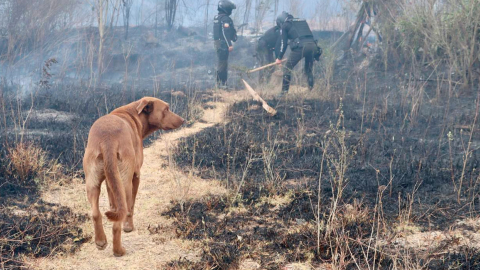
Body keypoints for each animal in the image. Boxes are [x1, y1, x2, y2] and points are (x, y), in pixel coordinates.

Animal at [83, 96, 185, 255]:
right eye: (166, 109)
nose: (183, 120)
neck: (133, 114)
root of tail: (108, 140)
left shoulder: (111, 180)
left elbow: (113, 201)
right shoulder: (135, 176)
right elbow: (131, 207)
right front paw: (129, 227)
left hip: (92, 182)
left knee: (96, 213)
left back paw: (100, 241)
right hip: (125, 181)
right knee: (118, 221)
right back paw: (118, 250)